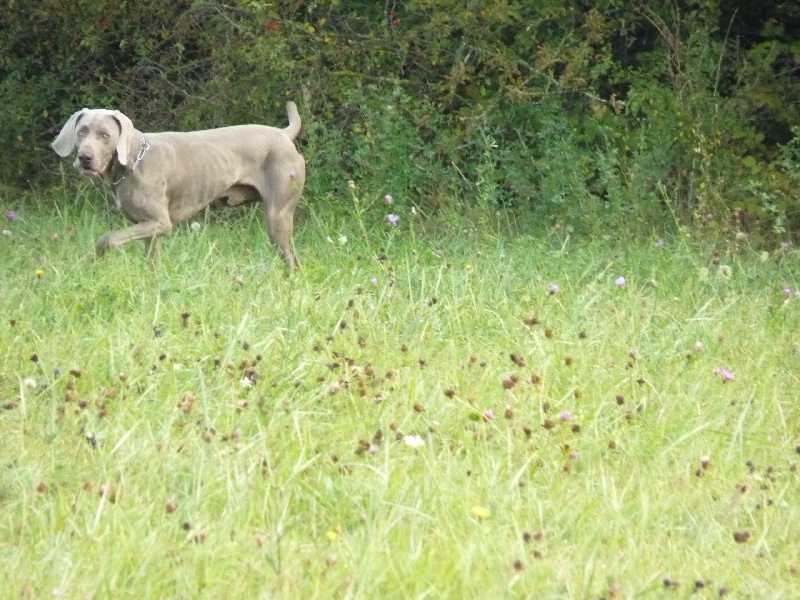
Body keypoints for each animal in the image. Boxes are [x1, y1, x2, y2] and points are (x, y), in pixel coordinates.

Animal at [50, 102, 306, 266]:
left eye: (105, 135)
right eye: (81, 131)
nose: (85, 158)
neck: (133, 159)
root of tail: (284, 134)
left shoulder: (161, 223)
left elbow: (107, 238)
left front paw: (87, 264)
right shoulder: (149, 229)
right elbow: (152, 262)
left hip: (278, 215)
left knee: (292, 259)